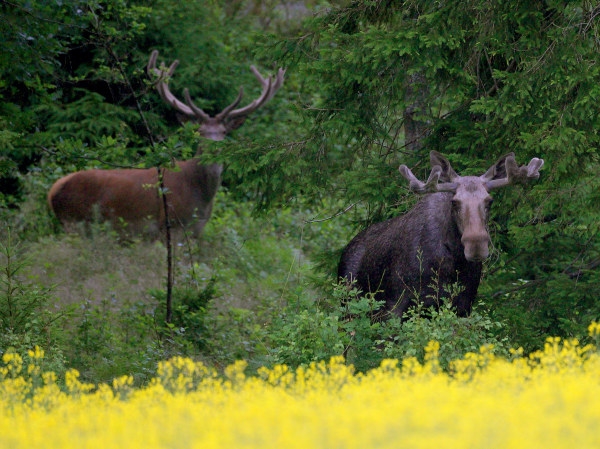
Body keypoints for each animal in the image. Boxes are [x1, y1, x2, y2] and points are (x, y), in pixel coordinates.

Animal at [45, 50, 284, 236]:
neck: (201, 199)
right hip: (74, 221)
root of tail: (52, 192)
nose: (214, 149)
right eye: (200, 132)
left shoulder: (197, 231)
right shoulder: (170, 225)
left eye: (224, 132)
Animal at [338, 150, 544, 318]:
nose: (476, 246)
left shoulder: (463, 305)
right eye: (454, 202)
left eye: (489, 201)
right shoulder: (395, 305)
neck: (453, 262)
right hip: (349, 305)